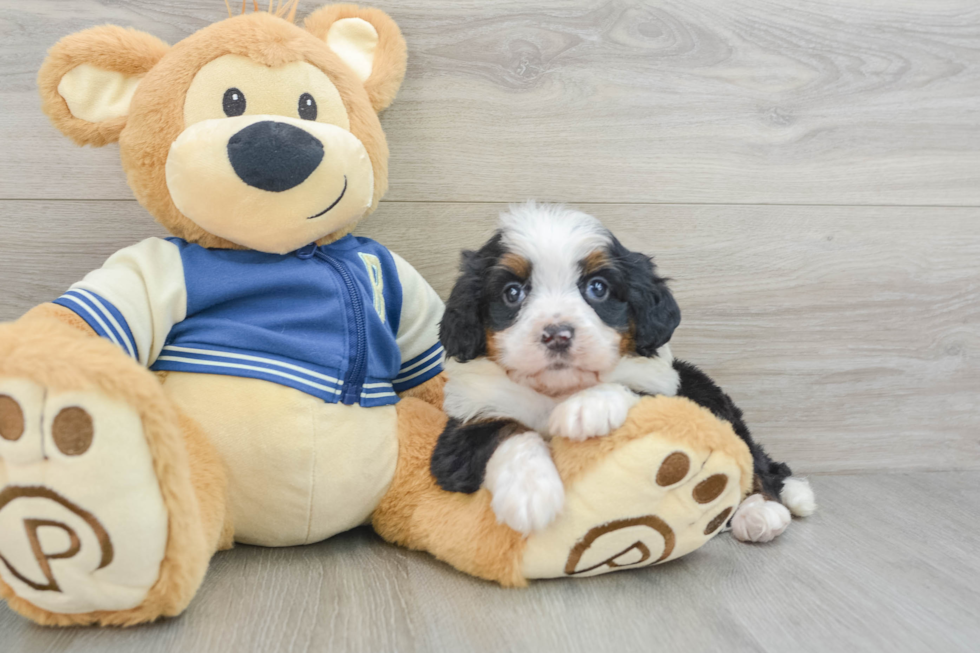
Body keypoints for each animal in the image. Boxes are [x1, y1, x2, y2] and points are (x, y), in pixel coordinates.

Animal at [432, 204, 816, 540]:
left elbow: (632, 388)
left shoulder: (666, 393)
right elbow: (507, 429)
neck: (556, 391)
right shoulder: (461, 434)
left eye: (597, 288)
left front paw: (588, 407)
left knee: (756, 461)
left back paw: (764, 510)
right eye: (512, 293)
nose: (557, 334)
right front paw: (529, 490)